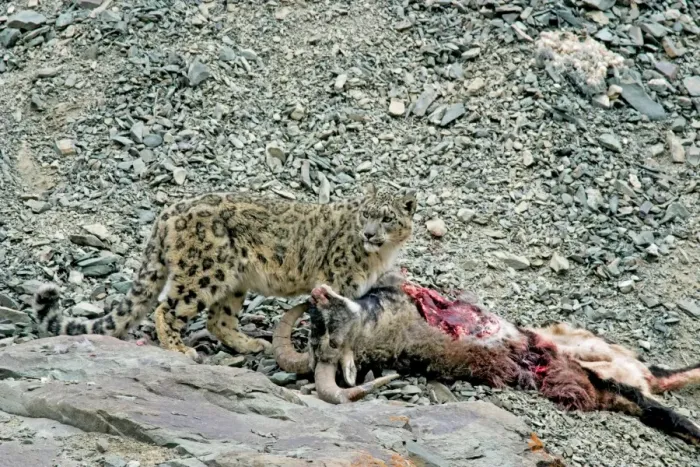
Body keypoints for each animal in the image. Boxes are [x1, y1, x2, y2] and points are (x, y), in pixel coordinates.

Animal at [32, 184, 417, 361]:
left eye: (387, 218)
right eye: (366, 213)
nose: (369, 234)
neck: (380, 256)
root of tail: (167, 212)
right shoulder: (339, 284)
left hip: (234, 282)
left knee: (219, 320)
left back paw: (252, 343)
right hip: (203, 272)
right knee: (166, 308)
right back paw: (180, 350)